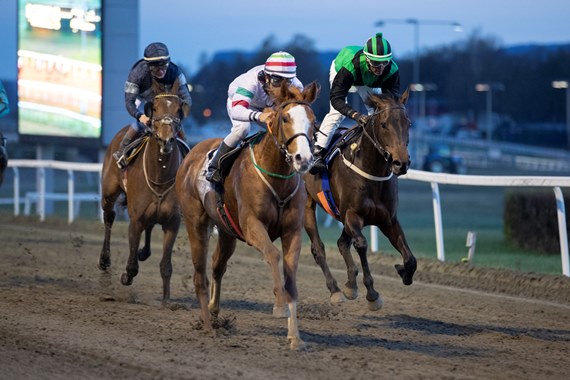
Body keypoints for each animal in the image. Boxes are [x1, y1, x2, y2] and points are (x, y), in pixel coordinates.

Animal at [98, 78, 190, 302]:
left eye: (178, 109)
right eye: (154, 108)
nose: (167, 140)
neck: (160, 176)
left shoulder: (172, 222)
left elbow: (166, 265)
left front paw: (167, 300)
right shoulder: (136, 218)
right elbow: (131, 264)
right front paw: (126, 276)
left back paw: (143, 252)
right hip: (109, 192)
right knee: (109, 217)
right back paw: (104, 260)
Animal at [176, 81, 320, 348]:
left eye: (313, 121)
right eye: (285, 118)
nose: (303, 159)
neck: (277, 177)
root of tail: (192, 153)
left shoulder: (292, 231)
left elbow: (291, 275)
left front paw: (295, 337)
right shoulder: (252, 226)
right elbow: (273, 255)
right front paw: (279, 306)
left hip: (226, 231)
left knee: (217, 266)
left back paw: (214, 311)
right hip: (195, 223)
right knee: (200, 275)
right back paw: (208, 327)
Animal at [302, 90, 418, 310]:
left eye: (408, 123)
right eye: (384, 124)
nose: (401, 163)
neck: (372, 171)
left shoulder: (388, 219)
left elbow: (410, 258)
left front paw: (403, 272)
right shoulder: (351, 215)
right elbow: (362, 244)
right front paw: (371, 293)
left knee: (341, 243)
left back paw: (349, 283)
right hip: (306, 203)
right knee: (318, 249)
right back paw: (335, 289)